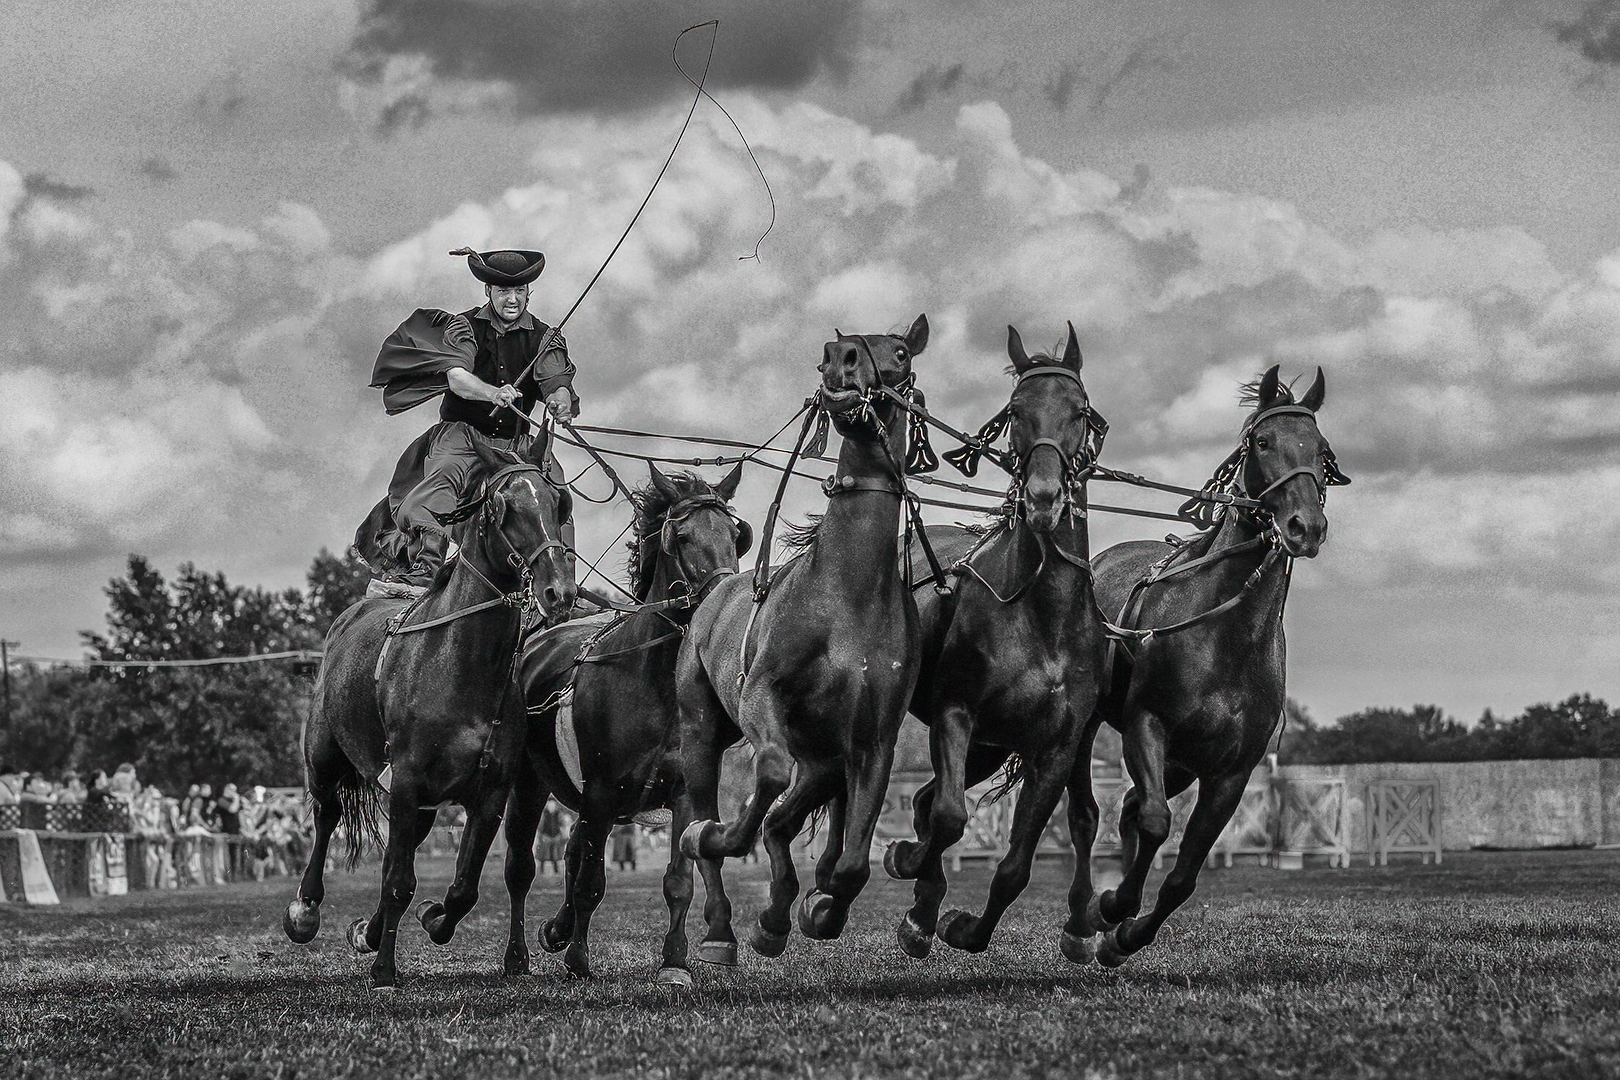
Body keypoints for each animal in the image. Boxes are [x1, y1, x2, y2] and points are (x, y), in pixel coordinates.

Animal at [282, 435, 576, 989]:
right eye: (504, 507)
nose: (559, 592)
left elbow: (463, 886)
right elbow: (400, 880)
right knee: (328, 814)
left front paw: (434, 919)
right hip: (326, 757)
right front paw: (385, 968)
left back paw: (370, 929)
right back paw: (306, 911)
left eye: (559, 504)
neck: (460, 665)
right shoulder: (408, 779)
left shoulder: (489, 791)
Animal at [497, 463, 750, 987]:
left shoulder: (682, 793)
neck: (653, 679)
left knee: (573, 851)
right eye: (683, 536)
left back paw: (557, 928)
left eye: (736, 535)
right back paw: (518, 954)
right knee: (522, 867)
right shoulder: (600, 790)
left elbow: (678, 881)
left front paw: (674, 961)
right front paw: (578, 958)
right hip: (532, 784)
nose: (721, 601)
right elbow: (591, 880)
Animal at [677, 315, 930, 956]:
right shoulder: (762, 698)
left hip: (822, 764)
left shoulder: (872, 741)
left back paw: (776, 913)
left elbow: (851, 864)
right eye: (832, 352)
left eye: (900, 352)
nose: (841, 358)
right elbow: (766, 775)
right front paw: (716, 837)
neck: (846, 597)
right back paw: (718, 917)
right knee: (720, 809)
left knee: (782, 823)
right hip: (699, 733)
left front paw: (818, 911)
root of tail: (713, 589)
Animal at [884, 323, 1109, 960]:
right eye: (1016, 411)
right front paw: (909, 869)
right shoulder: (956, 715)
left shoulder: (1056, 748)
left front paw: (964, 926)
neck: (1042, 617)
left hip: (993, 749)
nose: (1043, 498)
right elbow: (949, 819)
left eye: (1079, 411)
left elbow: (1014, 865)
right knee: (930, 805)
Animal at [1064, 364, 1347, 967]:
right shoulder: (1146, 727)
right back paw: (1081, 918)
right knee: (1089, 814)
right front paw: (1111, 908)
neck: (1223, 637)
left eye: (1321, 449)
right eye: (1263, 442)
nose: (1305, 527)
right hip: (1095, 731)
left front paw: (1126, 934)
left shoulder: (1229, 772)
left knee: (1127, 807)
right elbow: (1154, 821)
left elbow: (1183, 875)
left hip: (1184, 763)